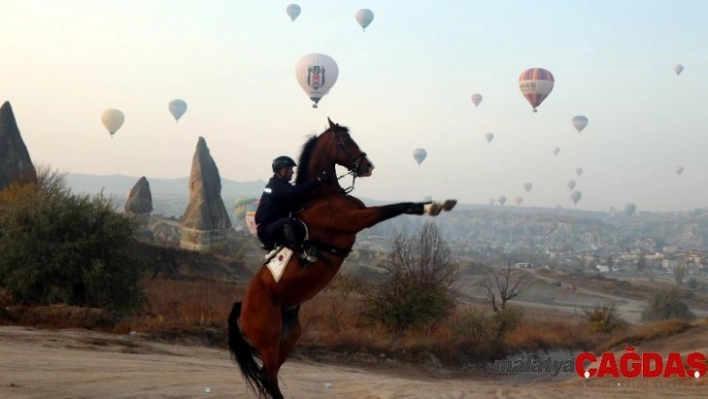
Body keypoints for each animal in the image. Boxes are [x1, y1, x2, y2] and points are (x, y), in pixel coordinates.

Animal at [230, 117, 456, 398]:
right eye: (345, 141)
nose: (368, 166)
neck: (323, 196)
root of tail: (241, 307)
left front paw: (439, 203)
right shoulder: (357, 220)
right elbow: (394, 208)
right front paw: (433, 206)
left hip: (288, 333)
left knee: (269, 375)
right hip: (268, 337)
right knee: (268, 376)